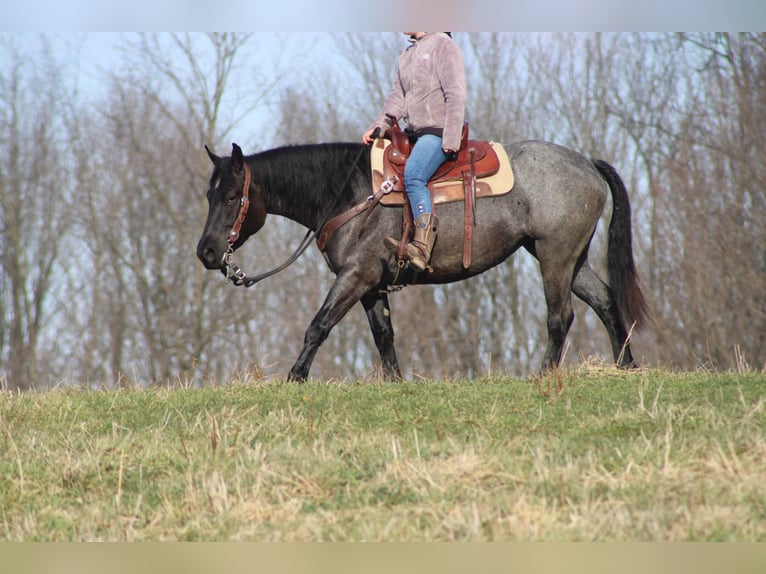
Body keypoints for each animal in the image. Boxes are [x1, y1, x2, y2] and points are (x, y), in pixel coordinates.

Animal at [196, 140, 649, 381]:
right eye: (208, 194)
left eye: (233, 197)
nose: (207, 252)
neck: (351, 195)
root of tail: (587, 163)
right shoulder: (371, 284)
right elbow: (384, 336)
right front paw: (396, 382)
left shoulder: (354, 277)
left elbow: (318, 326)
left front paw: (294, 378)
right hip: (571, 258)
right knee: (606, 302)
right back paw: (625, 367)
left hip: (554, 257)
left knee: (560, 317)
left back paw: (543, 375)